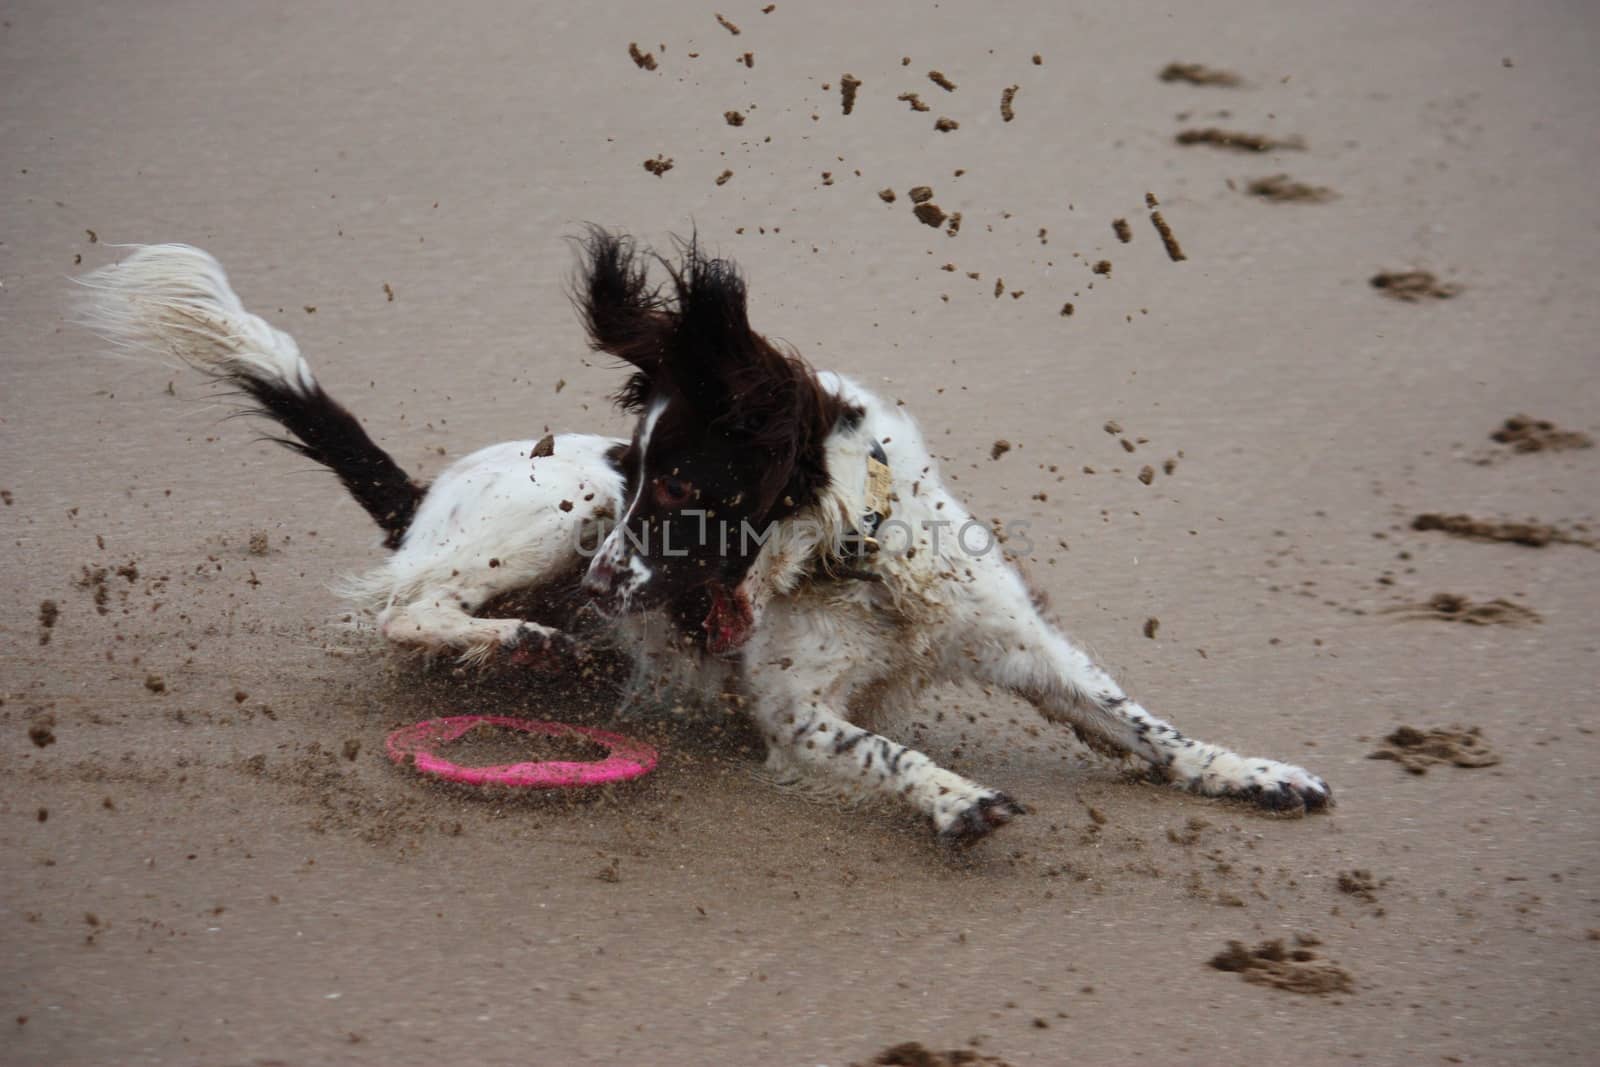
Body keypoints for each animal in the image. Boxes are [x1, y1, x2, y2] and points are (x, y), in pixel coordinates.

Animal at [81, 238, 1331, 844]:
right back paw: (526, 641)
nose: (600, 586)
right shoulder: (791, 709)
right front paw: (952, 798)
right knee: (402, 606)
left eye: (680, 482)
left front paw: (1254, 771)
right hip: (555, 502)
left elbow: (1144, 723)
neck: (858, 561)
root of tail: (424, 490)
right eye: (643, 474)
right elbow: (884, 751)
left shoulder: (1026, 646)